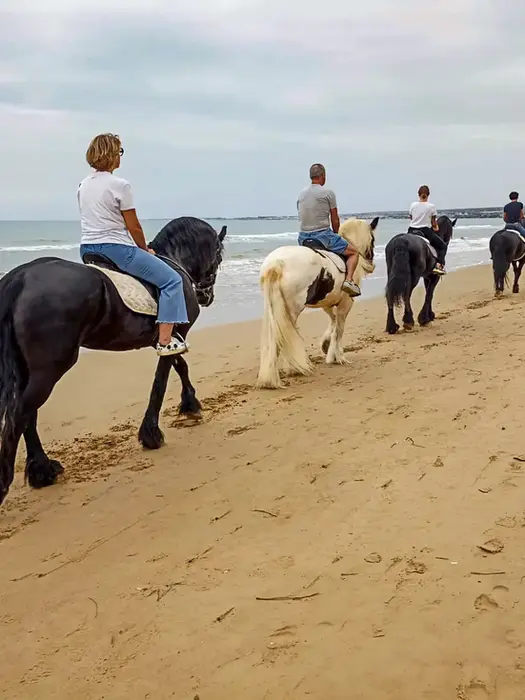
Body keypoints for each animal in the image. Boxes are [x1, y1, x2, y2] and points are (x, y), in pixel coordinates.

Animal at [0, 216, 226, 505]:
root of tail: (21, 277)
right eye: (219, 256)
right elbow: (163, 378)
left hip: (29, 368)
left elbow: (179, 366)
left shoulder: (171, 338)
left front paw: (190, 405)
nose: (206, 297)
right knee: (20, 413)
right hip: (49, 369)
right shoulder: (176, 334)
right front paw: (152, 433)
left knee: (27, 412)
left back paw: (42, 469)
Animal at [256, 217, 378, 389]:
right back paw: (287, 372)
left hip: (274, 306)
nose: (371, 266)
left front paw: (327, 347)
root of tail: (277, 263)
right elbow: (339, 328)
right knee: (284, 335)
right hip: (291, 309)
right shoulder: (345, 304)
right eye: (372, 240)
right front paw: (338, 357)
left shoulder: (327, 303)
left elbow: (333, 321)